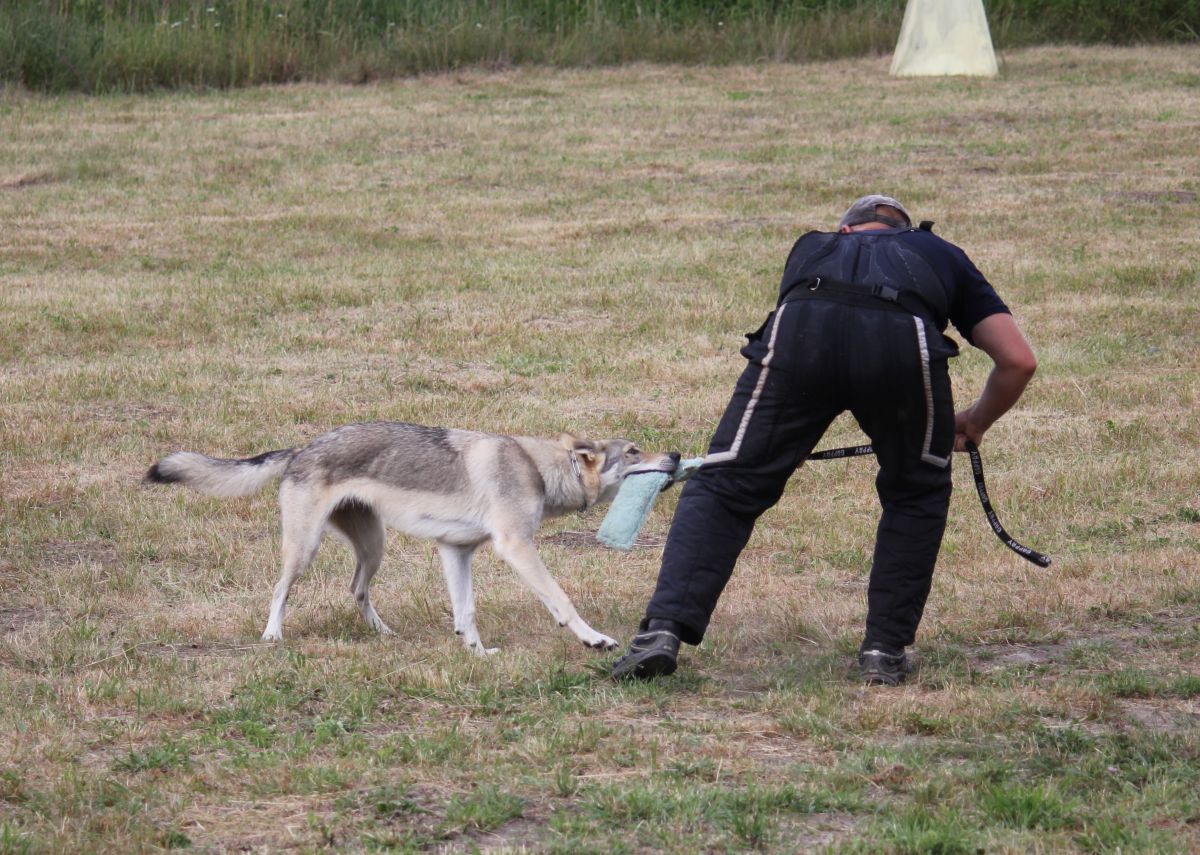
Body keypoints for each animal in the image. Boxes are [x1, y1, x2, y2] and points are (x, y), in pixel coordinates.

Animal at [146, 422, 676, 653]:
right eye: (634, 451)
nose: (673, 455)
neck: (538, 470)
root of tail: (302, 448)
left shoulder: (456, 552)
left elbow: (465, 612)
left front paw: (476, 653)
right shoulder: (516, 547)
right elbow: (561, 601)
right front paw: (594, 638)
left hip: (373, 547)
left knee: (356, 590)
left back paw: (383, 634)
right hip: (305, 550)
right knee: (280, 590)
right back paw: (273, 635)